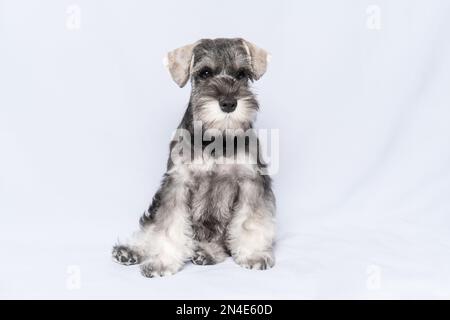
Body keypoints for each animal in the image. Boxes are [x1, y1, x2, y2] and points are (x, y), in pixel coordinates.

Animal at [112, 38, 274, 278]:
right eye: (205, 73)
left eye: (242, 74)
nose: (228, 103)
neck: (216, 139)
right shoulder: (177, 183)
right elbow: (168, 227)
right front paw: (161, 262)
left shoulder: (250, 182)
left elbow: (250, 221)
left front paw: (254, 254)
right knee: (150, 227)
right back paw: (131, 250)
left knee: (220, 242)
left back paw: (207, 253)